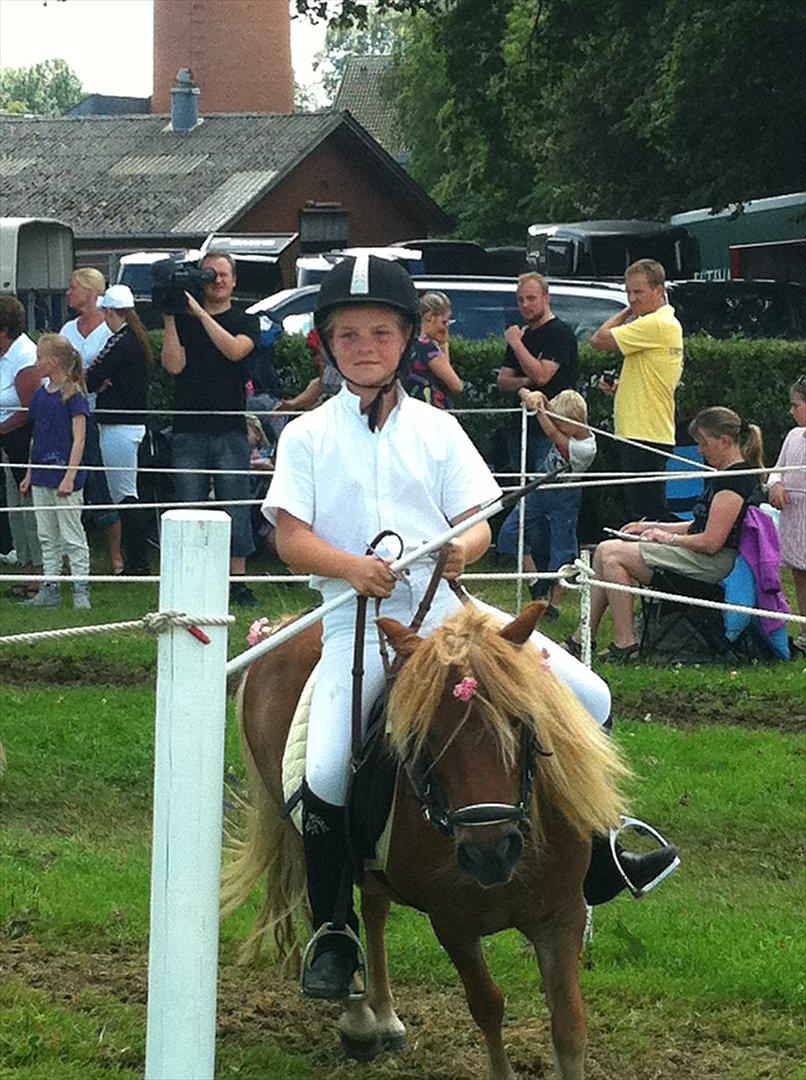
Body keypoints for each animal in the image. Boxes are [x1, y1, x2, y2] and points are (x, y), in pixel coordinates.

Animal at [221, 604, 626, 1075]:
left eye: (520, 720)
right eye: (423, 735)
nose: (490, 854)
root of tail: (283, 629)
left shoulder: (561, 913)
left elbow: (568, 1022)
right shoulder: (451, 922)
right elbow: (487, 1004)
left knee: (374, 908)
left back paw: (384, 1014)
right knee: (323, 904)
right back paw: (358, 1017)